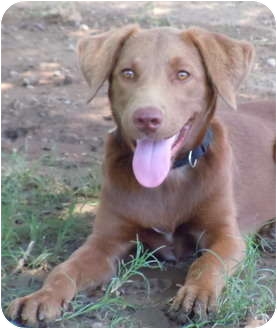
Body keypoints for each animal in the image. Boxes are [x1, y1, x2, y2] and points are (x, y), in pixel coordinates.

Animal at [6, 25, 274, 326]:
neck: (167, 181)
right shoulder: (104, 241)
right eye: (128, 73)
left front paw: (196, 296)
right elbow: (65, 268)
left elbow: (207, 263)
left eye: (183, 74)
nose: (146, 118)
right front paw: (41, 297)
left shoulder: (226, 236)